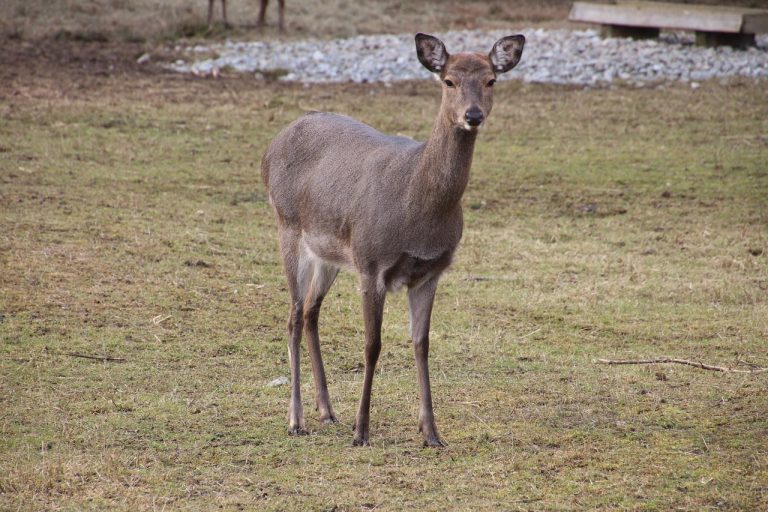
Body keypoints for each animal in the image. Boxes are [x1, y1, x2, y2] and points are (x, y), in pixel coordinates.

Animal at [261, 33, 525, 447]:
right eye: (448, 80)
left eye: (491, 80)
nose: (473, 115)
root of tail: (270, 148)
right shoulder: (371, 263)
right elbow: (373, 345)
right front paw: (362, 431)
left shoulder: (431, 272)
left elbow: (422, 344)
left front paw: (431, 432)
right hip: (287, 226)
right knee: (291, 316)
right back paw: (296, 420)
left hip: (330, 253)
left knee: (309, 311)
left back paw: (327, 411)